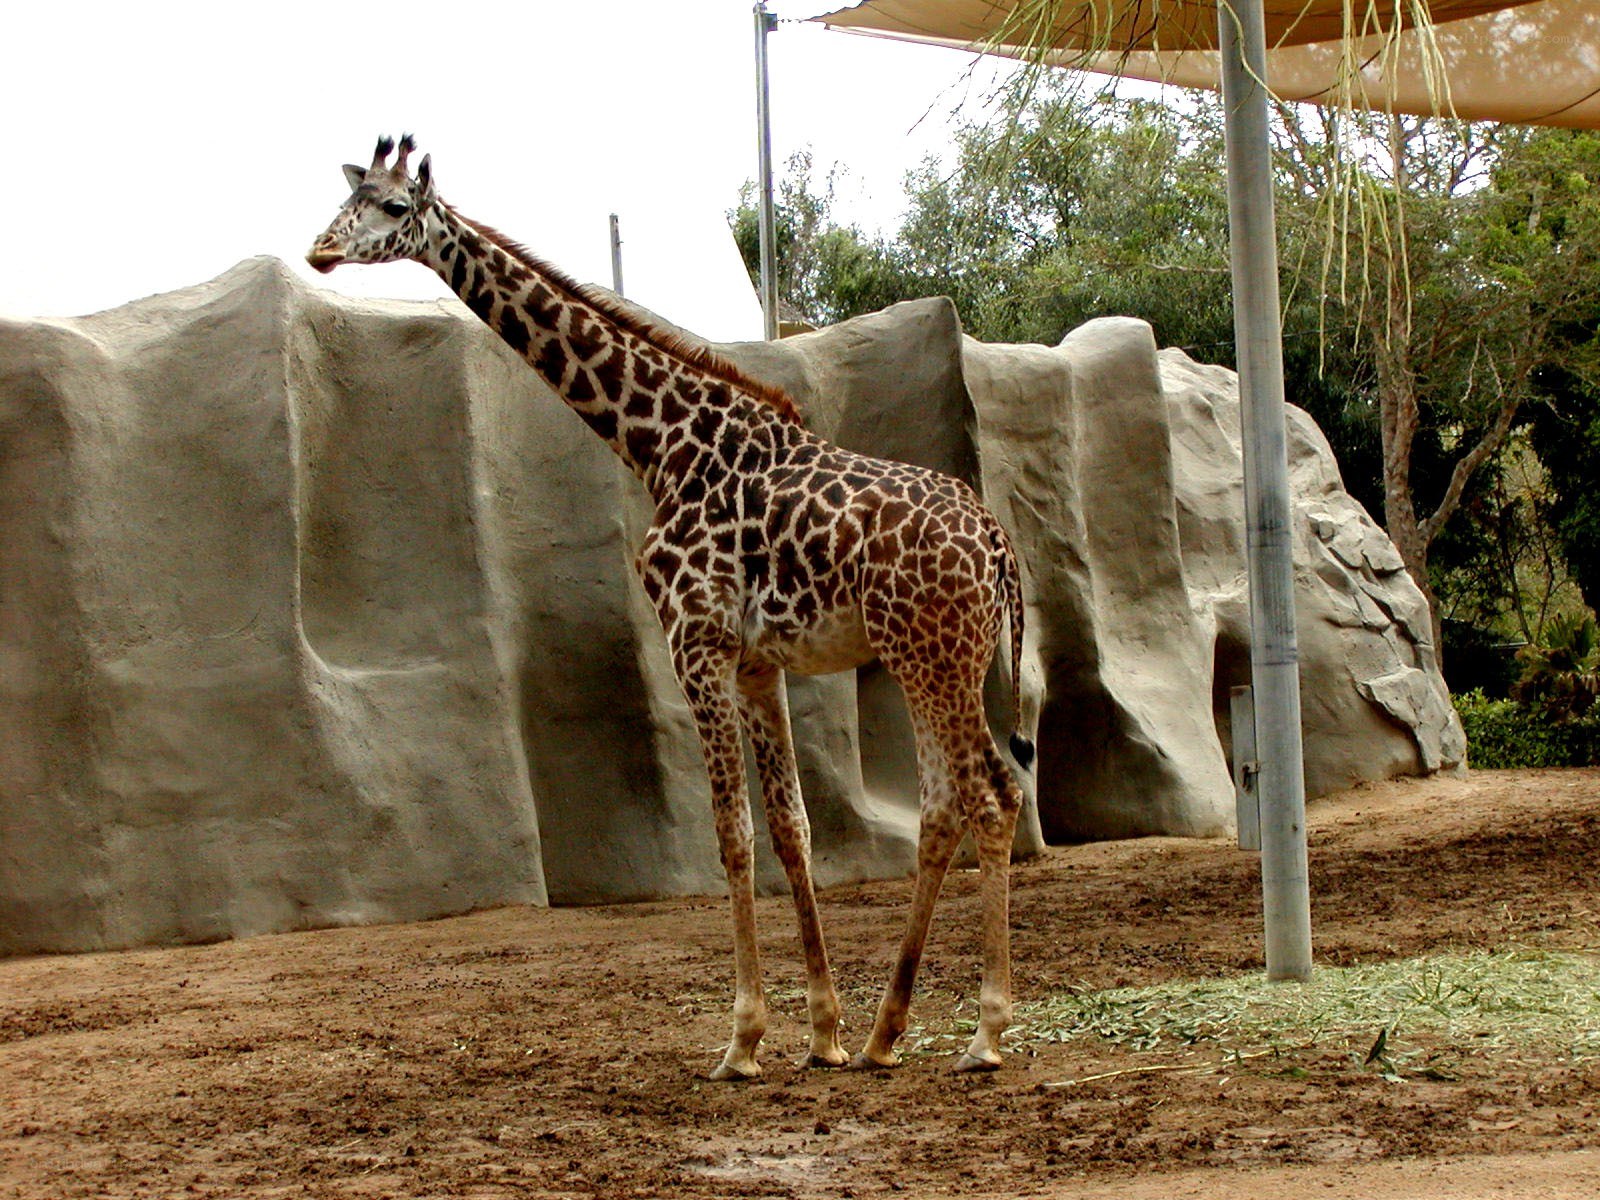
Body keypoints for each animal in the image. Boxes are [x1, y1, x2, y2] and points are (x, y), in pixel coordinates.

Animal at [307, 136, 1034, 1079]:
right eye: (346, 197)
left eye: (395, 208)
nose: (320, 251)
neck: (660, 444)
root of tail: (997, 543)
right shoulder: (756, 660)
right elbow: (790, 828)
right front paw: (824, 1034)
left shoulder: (696, 641)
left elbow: (729, 832)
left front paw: (743, 1040)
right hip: (943, 660)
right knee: (949, 803)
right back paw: (884, 1033)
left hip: (933, 657)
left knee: (991, 795)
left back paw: (984, 1032)